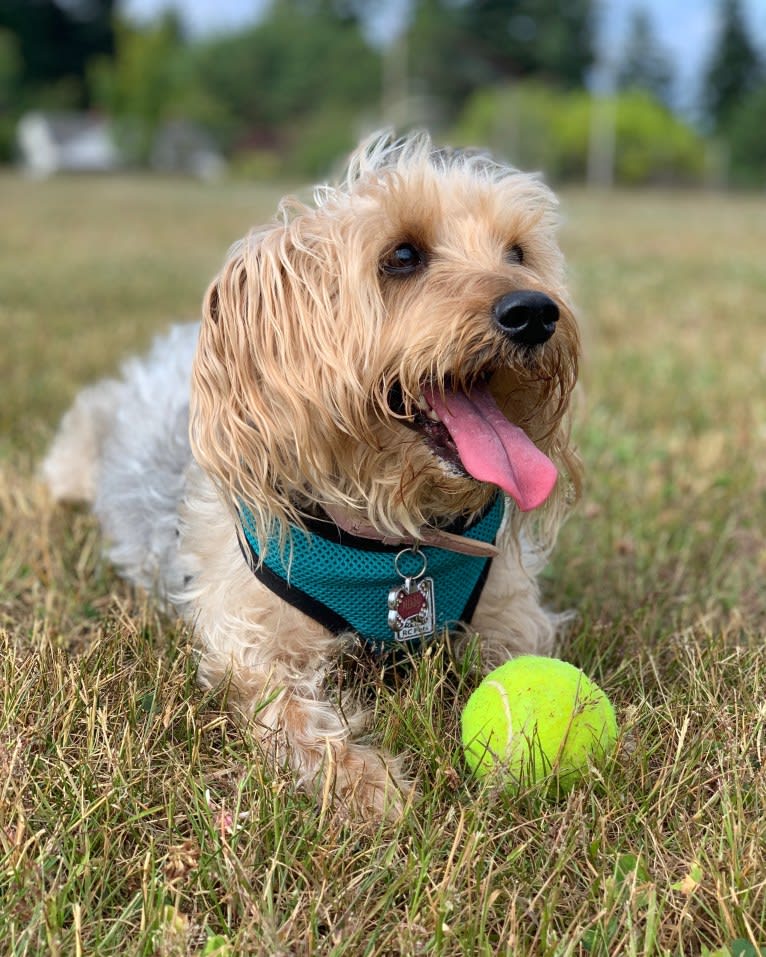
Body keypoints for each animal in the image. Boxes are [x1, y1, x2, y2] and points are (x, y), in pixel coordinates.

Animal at [43, 133, 584, 816]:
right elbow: (293, 714)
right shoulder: (250, 645)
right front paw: (368, 784)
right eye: (401, 255)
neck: (394, 538)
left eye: (518, 252)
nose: (535, 311)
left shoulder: (508, 613)